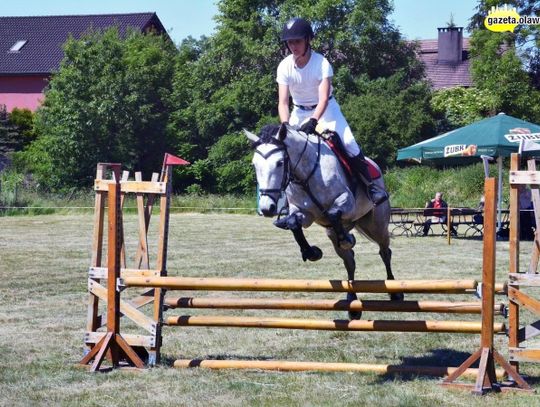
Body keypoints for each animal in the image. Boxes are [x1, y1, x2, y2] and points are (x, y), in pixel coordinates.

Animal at [247, 122, 402, 320]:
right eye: (254, 164)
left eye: (280, 162)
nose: (267, 208)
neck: (305, 174)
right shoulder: (304, 213)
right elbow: (294, 224)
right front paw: (312, 252)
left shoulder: (346, 201)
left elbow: (334, 213)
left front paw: (346, 240)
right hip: (332, 233)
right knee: (349, 260)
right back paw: (352, 303)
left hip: (377, 225)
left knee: (384, 252)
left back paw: (395, 292)